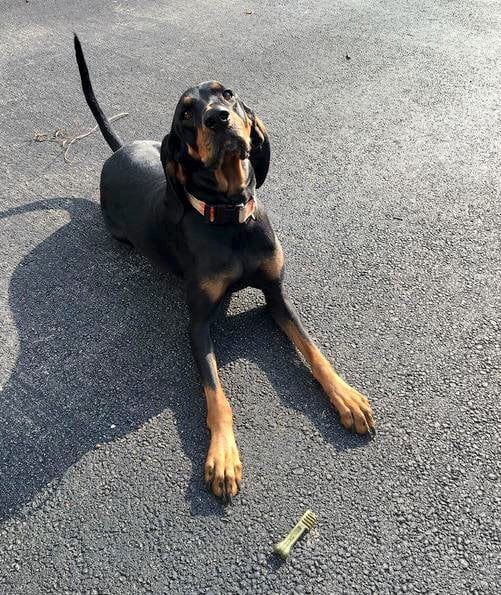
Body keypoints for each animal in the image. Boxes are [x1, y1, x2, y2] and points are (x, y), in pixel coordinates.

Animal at [72, 36, 374, 502]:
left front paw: (346, 396)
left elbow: (313, 350)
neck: (231, 218)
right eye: (185, 113)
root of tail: (119, 150)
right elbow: (217, 396)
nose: (218, 118)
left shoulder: (277, 297)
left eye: (227, 93)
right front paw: (223, 456)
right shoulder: (197, 324)